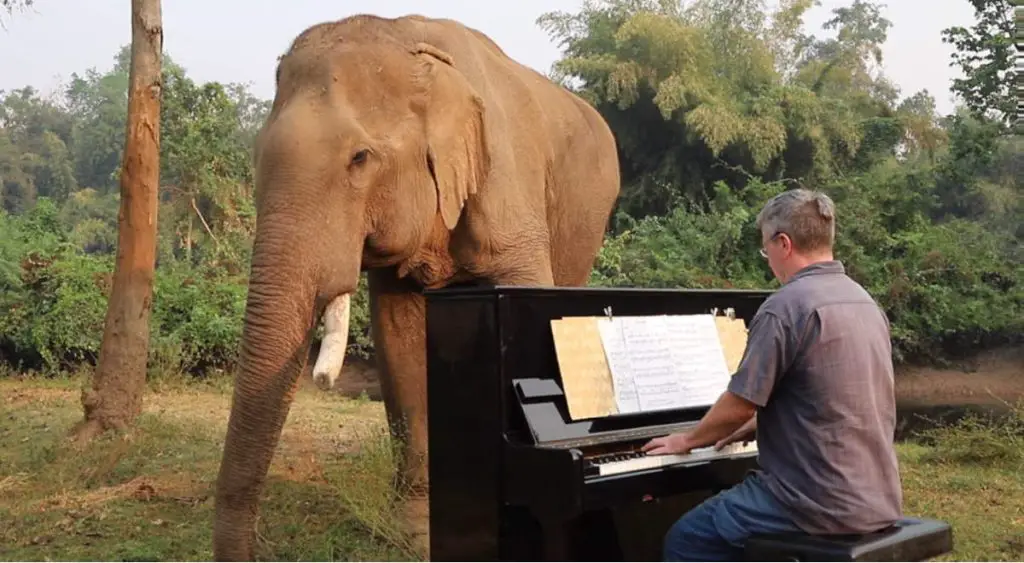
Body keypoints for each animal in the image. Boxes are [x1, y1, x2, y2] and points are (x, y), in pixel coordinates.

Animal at [211, 14, 618, 563]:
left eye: (359, 158)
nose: (261, 548)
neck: (405, 38)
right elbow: (401, 341)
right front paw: (416, 535)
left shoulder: (509, 190)